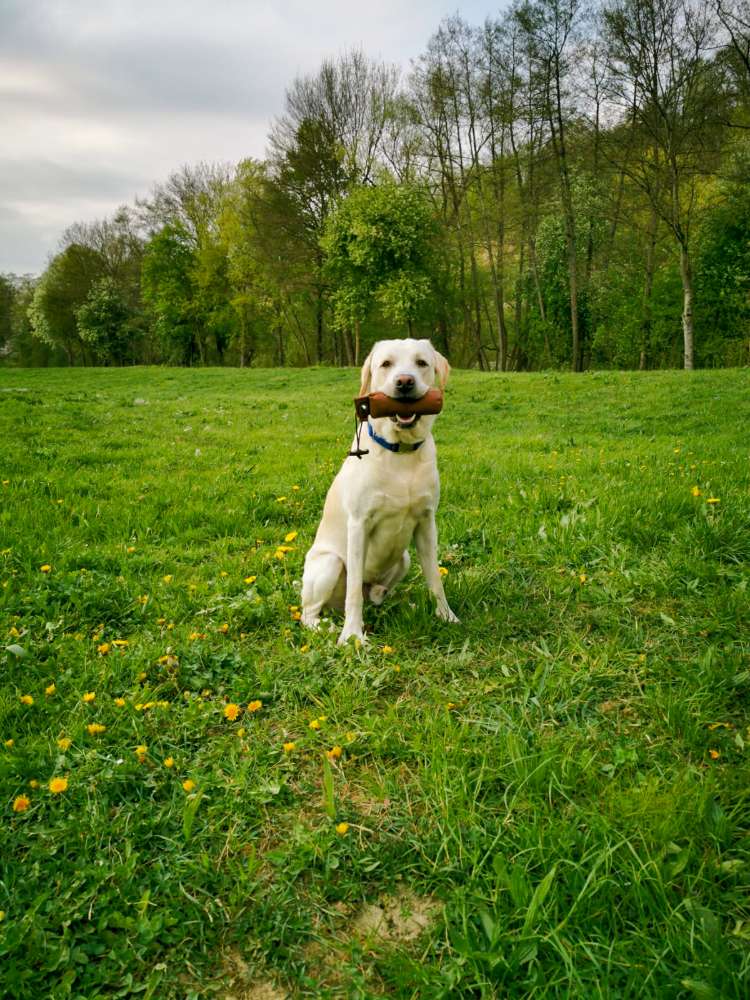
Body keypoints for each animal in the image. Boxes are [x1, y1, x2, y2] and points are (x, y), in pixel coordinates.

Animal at [302, 338, 458, 648]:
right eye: (386, 364)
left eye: (421, 363)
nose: (405, 382)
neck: (401, 452)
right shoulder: (359, 524)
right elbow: (353, 593)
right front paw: (352, 635)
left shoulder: (427, 522)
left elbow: (435, 577)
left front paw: (445, 615)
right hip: (329, 563)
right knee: (310, 612)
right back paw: (327, 626)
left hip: (404, 558)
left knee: (375, 596)